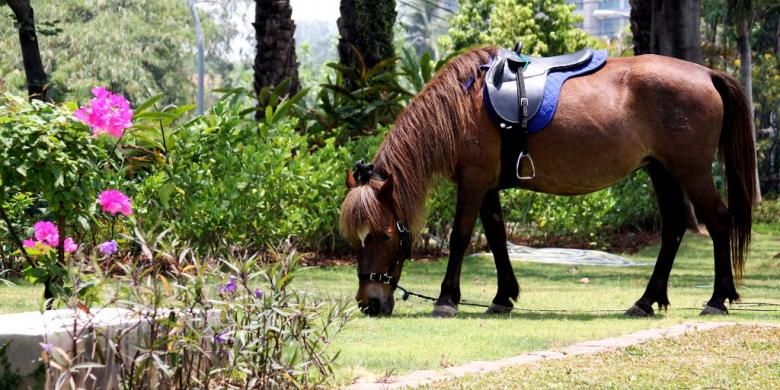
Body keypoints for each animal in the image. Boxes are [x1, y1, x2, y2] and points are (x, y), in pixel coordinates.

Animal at [338, 46, 752, 320]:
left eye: (383, 236)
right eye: (354, 240)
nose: (368, 302)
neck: (462, 104)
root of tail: (706, 74)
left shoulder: (473, 181)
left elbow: (460, 237)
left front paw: (446, 299)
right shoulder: (487, 186)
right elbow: (497, 236)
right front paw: (502, 297)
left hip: (691, 171)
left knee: (718, 221)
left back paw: (717, 299)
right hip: (661, 170)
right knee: (674, 228)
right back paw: (646, 301)